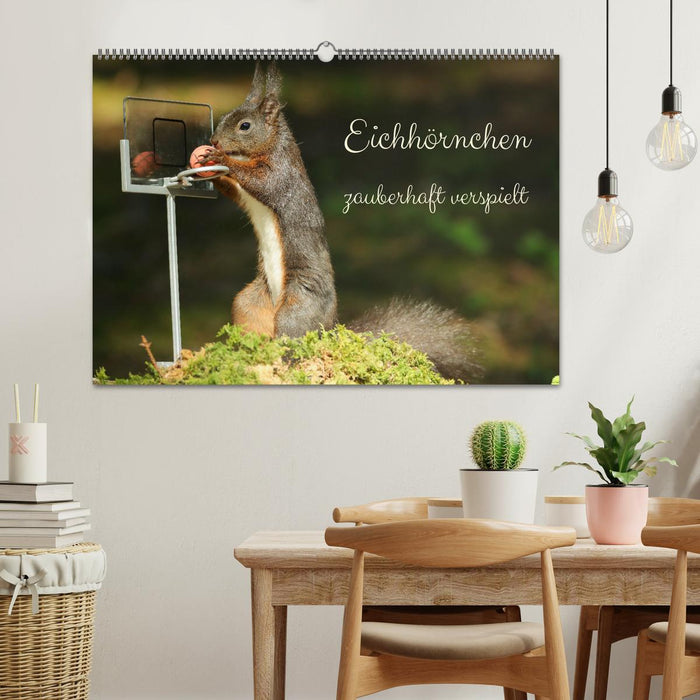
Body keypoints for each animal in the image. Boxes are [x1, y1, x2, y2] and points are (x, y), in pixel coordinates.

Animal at [204, 63, 481, 382]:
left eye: (245, 126)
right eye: (224, 117)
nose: (213, 141)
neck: (272, 144)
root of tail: (331, 329)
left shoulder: (282, 174)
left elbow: (262, 182)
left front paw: (221, 158)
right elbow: (237, 192)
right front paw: (207, 169)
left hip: (297, 309)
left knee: (293, 342)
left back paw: (282, 365)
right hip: (250, 303)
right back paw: (245, 355)